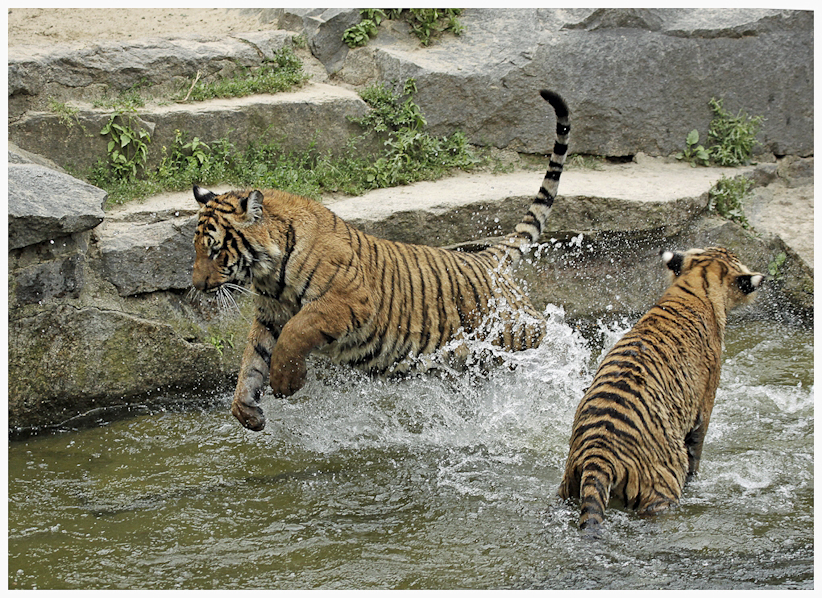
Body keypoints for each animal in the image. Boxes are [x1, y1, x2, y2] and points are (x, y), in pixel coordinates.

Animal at [192, 89, 571, 431]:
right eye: (196, 249)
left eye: (214, 249)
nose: (196, 285)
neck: (269, 272)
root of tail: (489, 260)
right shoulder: (270, 316)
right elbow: (251, 362)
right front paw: (246, 411)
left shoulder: (349, 300)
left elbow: (296, 332)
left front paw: (286, 383)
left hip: (517, 336)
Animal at [558, 247, 764, 532]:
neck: (697, 284)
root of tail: (598, 453)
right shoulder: (705, 403)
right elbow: (696, 449)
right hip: (660, 492)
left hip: (568, 485)